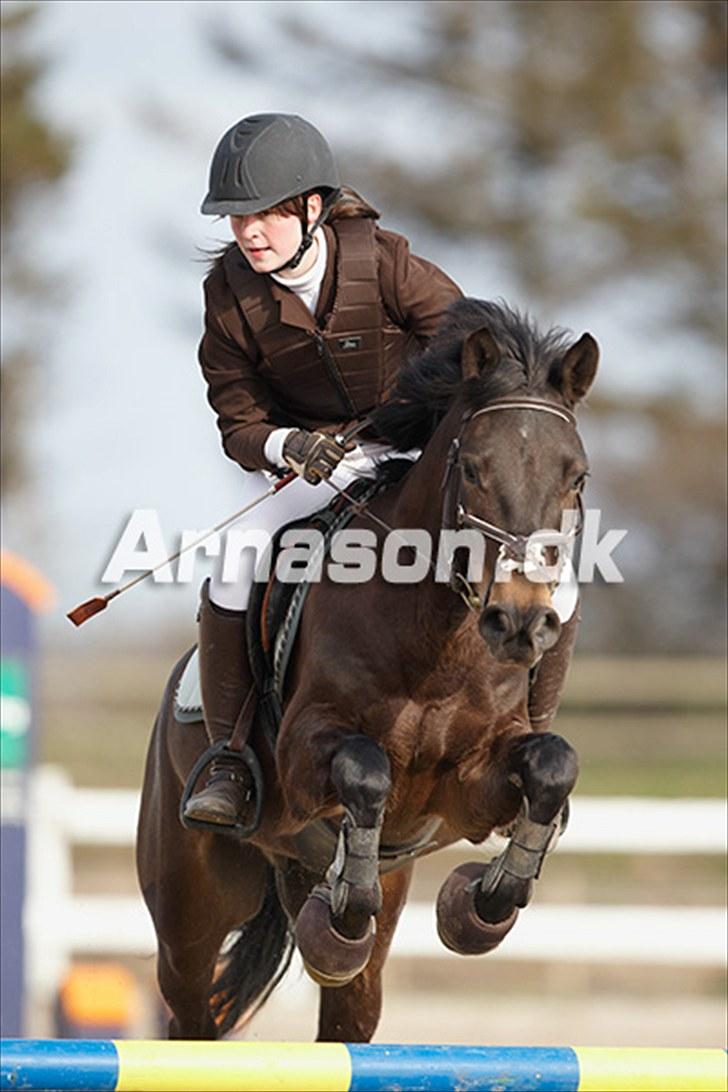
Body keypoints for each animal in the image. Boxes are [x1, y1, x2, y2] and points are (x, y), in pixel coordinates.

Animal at [135, 297, 598, 1039]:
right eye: (474, 469)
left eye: (575, 476)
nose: (520, 622)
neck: (437, 644)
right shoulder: (305, 754)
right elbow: (365, 767)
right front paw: (343, 920)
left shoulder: (471, 788)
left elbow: (552, 765)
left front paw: (477, 908)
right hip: (190, 910)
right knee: (191, 1011)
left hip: (365, 891)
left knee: (349, 1008)